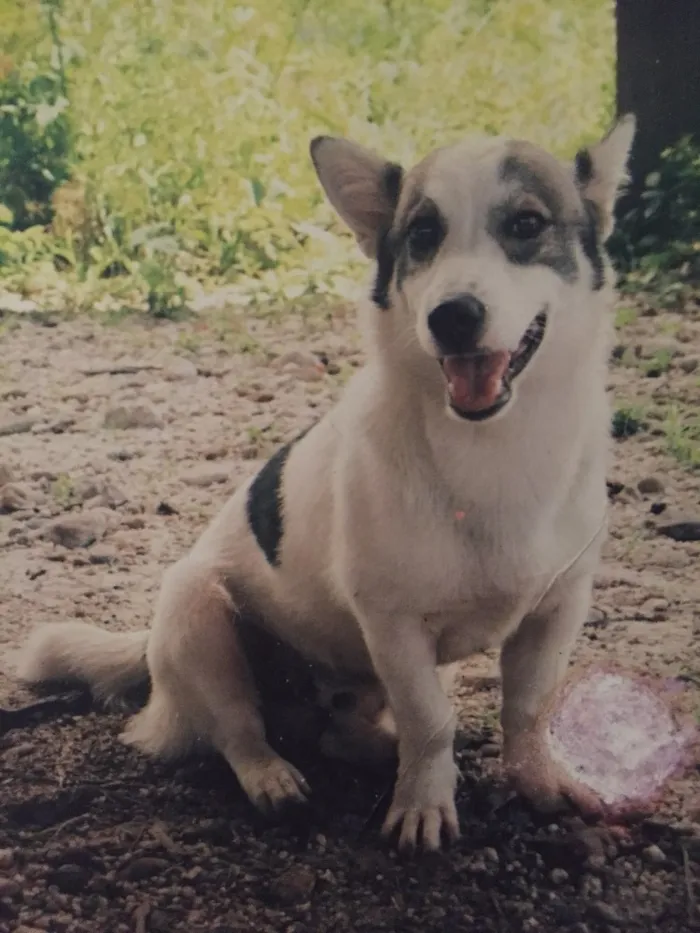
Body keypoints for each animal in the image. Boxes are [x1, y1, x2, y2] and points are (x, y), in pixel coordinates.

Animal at [15, 113, 636, 848]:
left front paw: (536, 781)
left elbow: (529, 709)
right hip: (198, 614)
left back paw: (374, 751)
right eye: (422, 235)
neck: (492, 449)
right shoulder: (394, 627)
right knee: (238, 728)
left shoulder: (556, 609)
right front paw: (424, 802)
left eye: (527, 223)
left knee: (338, 733)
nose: (451, 316)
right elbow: (431, 721)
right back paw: (273, 775)